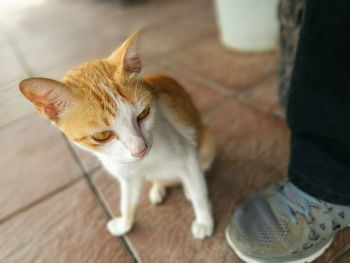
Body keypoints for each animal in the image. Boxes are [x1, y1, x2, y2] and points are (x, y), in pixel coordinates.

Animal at [20, 29, 216, 240]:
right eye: (102, 135)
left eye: (144, 114)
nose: (140, 149)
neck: (143, 163)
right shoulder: (128, 177)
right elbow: (127, 203)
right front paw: (125, 224)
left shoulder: (187, 153)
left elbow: (198, 192)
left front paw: (204, 221)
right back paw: (158, 188)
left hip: (206, 143)